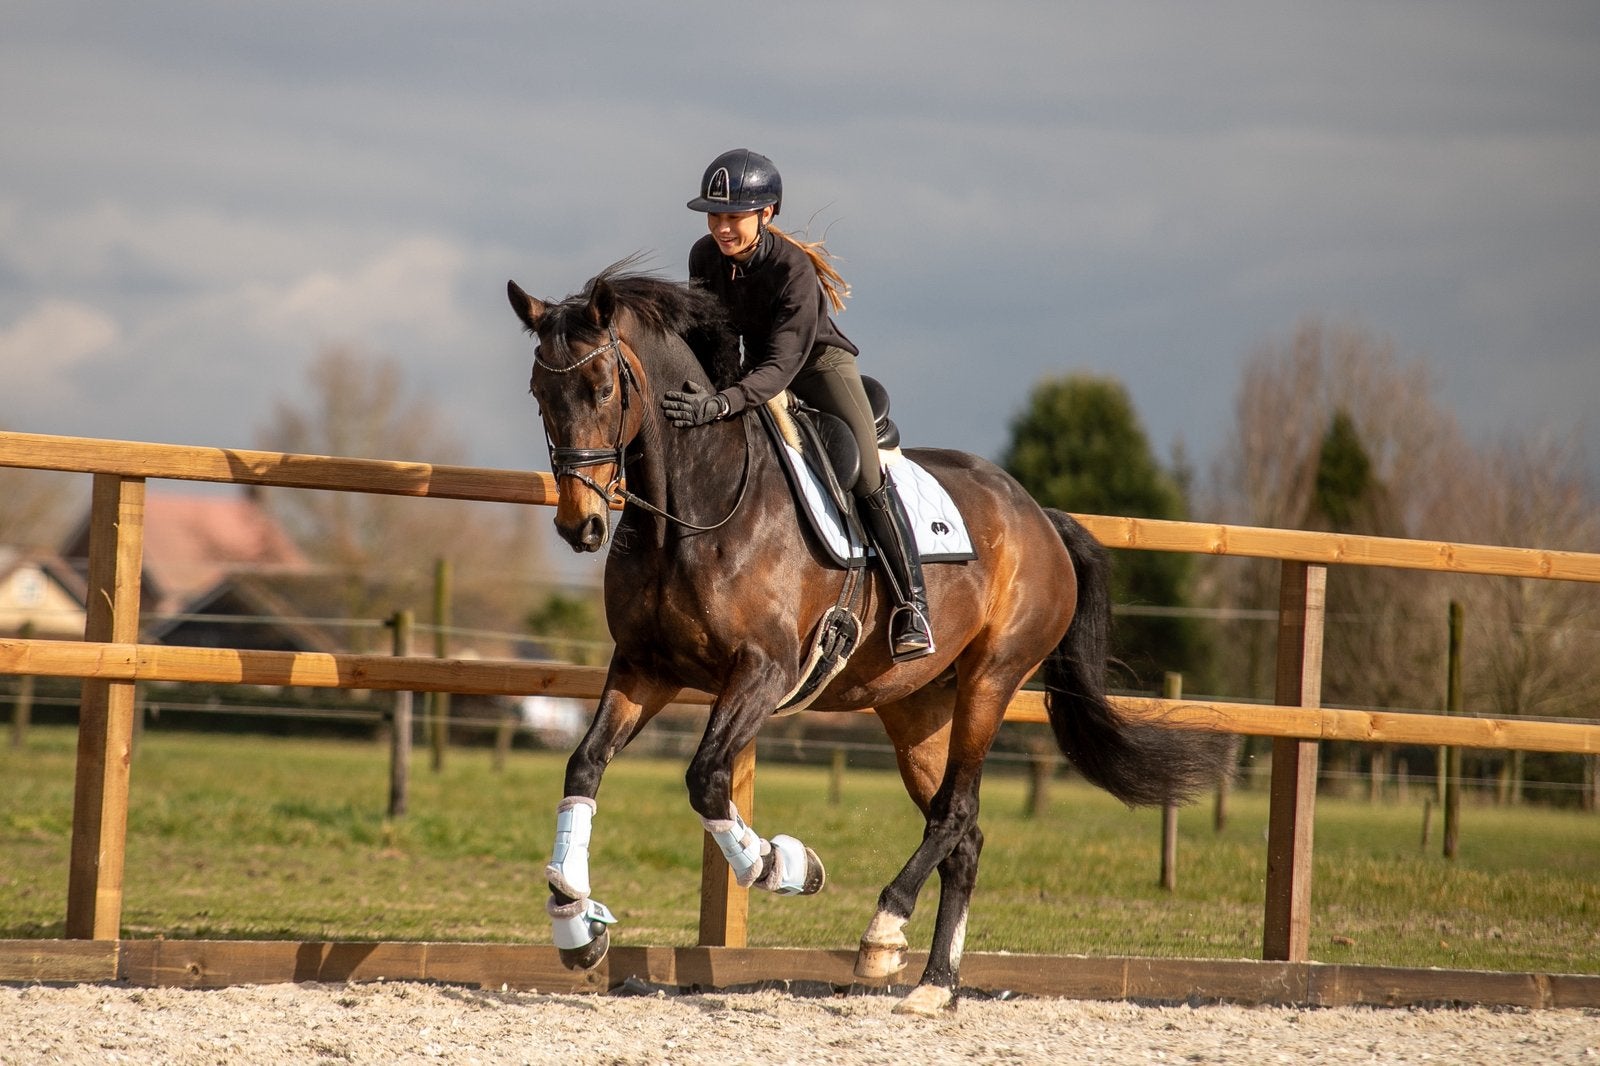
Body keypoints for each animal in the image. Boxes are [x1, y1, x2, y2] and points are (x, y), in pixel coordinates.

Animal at [507, 262, 1234, 1016]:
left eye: (601, 388)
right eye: (539, 394)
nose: (580, 526)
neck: (693, 505)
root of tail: (1040, 515)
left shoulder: (763, 671)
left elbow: (707, 779)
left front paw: (785, 864)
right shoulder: (645, 668)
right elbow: (584, 765)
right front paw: (574, 920)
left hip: (991, 680)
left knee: (954, 812)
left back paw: (884, 931)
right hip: (915, 708)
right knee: (963, 833)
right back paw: (935, 983)